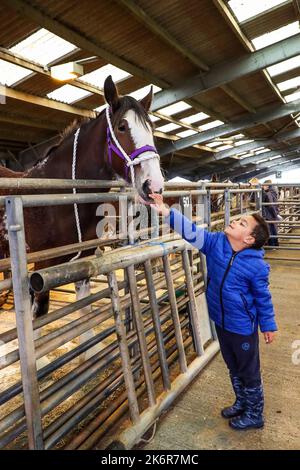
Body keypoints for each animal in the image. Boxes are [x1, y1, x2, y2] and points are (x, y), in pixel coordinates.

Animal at [0, 75, 164, 364]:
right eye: (122, 127)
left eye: (151, 128)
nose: (153, 186)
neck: (58, 195)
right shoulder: (41, 266)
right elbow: (38, 311)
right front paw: (39, 361)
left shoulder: (83, 259)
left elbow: (83, 303)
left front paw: (90, 350)